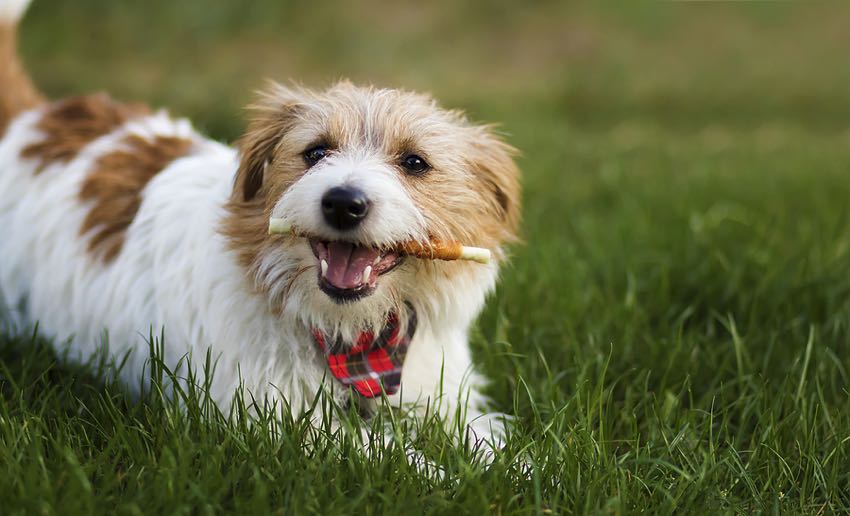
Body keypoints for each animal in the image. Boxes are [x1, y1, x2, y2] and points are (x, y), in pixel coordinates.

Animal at [0, 0, 516, 450]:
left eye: (414, 162)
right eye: (315, 152)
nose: (343, 203)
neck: (352, 339)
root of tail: (34, 119)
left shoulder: (443, 398)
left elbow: (492, 447)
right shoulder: (278, 422)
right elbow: (402, 461)